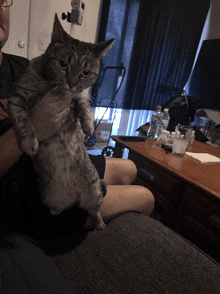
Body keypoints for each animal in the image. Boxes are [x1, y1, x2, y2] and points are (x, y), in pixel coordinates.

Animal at [7, 13, 113, 230]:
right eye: (63, 64)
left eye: (85, 73)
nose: (71, 83)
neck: (50, 85)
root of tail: (76, 193)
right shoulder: (17, 100)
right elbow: (24, 122)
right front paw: (30, 143)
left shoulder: (76, 94)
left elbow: (82, 100)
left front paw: (88, 125)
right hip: (52, 198)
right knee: (61, 208)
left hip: (94, 190)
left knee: (95, 210)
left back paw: (100, 224)